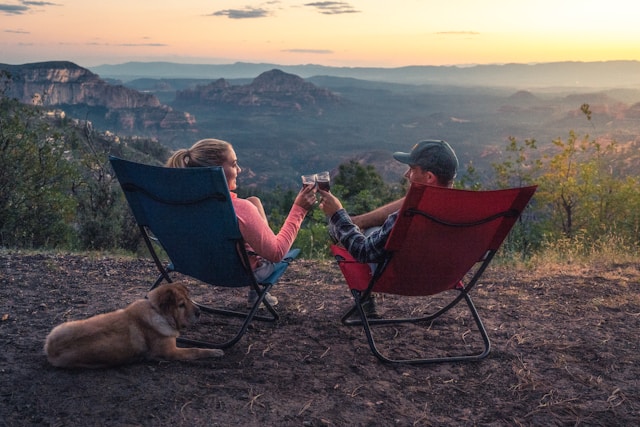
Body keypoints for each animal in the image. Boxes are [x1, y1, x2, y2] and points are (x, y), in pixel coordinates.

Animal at [43, 282, 222, 370]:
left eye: (190, 299)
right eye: (181, 305)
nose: (199, 312)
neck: (157, 312)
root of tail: (51, 348)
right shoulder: (171, 352)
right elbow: (195, 350)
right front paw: (215, 351)